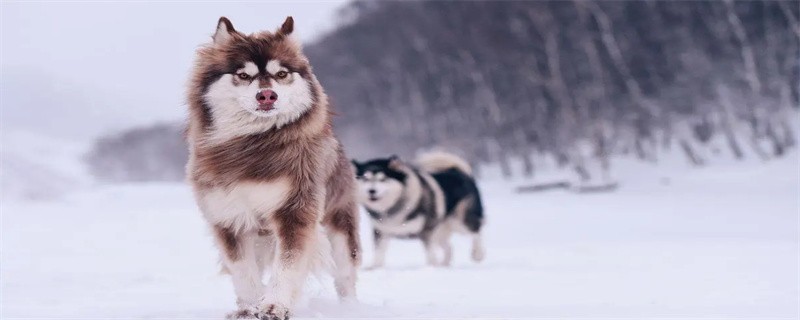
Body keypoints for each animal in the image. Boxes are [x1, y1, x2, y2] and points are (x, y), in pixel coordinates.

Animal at [186, 16, 360, 318]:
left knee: (345, 275)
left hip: (338, 224)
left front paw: (274, 305)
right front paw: (249, 307)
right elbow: (243, 271)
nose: (266, 95)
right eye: (244, 75)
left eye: (281, 74)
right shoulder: (228, 218)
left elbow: (287, 265)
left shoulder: (295, 210)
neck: (253, 143)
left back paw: (351, 309)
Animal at [352, 152, 484, 268]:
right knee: (449, 248)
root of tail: (456, 171)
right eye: (365, 179)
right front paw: (374, 267)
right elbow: (378, 252)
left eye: (383, 179)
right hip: (440, 232)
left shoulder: (426, 231)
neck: (394, 207)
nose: (371, 191)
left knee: (476, 232)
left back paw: (478, 254)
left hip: (459, 222)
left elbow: (430, 253)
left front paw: (432, 267)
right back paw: (444, 265)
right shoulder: (381, 231)